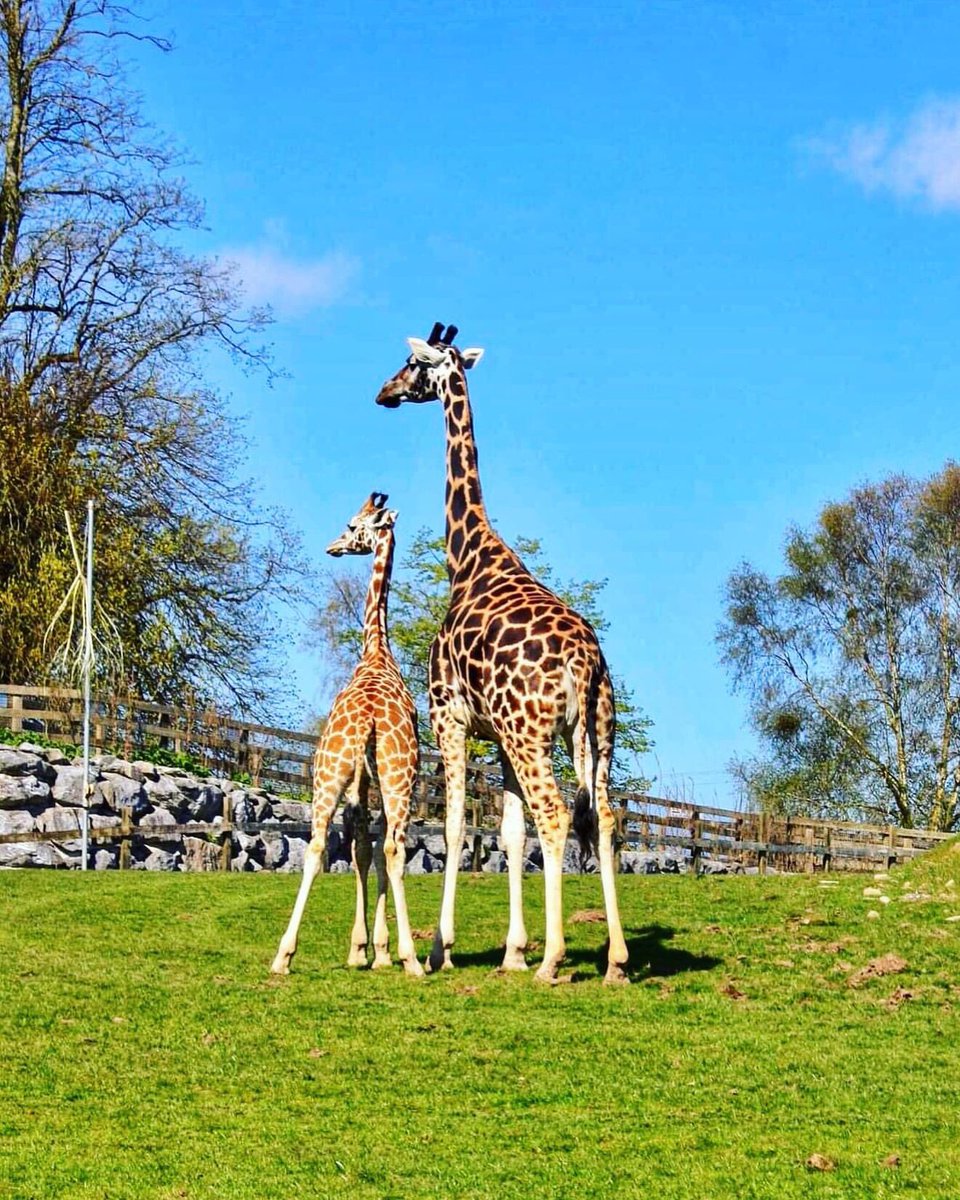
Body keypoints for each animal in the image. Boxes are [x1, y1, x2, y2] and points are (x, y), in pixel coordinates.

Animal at [267, 494, 422, 974]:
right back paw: (411, 958)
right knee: (390, 848)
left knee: (319, 845)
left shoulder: (359, 779)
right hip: (390, 774)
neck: (376, 649)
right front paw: (372, 950)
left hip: (333, 772)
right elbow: (366, 849)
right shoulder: (370, 778)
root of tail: (369, 715)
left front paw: (368, 949)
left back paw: (283, 955)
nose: (333, 546)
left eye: (352, 525)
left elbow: (359, 848)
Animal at [374, 321, 628, 984]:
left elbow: (456, 822)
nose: (383, 392)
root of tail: (584, 665)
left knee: (557, 814)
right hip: (594, 735)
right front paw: (513, 951)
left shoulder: (451, 716)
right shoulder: (498, 737)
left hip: (533, 733)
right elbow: (510, 834)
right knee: (603, 818)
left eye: (413, 364)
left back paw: (555, 960)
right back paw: (615, 960)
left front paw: (439, 948)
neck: (467, 556)